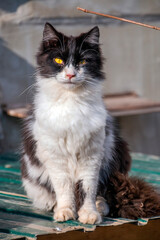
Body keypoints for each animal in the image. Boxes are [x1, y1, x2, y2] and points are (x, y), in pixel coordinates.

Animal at [20, 23, 159, 225]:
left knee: (103, 194)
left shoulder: (91, 156)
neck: (71, 101)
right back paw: (53, 205)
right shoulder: (55, 157)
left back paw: (100, 207)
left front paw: (89, 214)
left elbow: (88, 189)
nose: (70, 74)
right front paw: (65, 211)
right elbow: (64, 188)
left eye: (83, 62)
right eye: (58, 60)